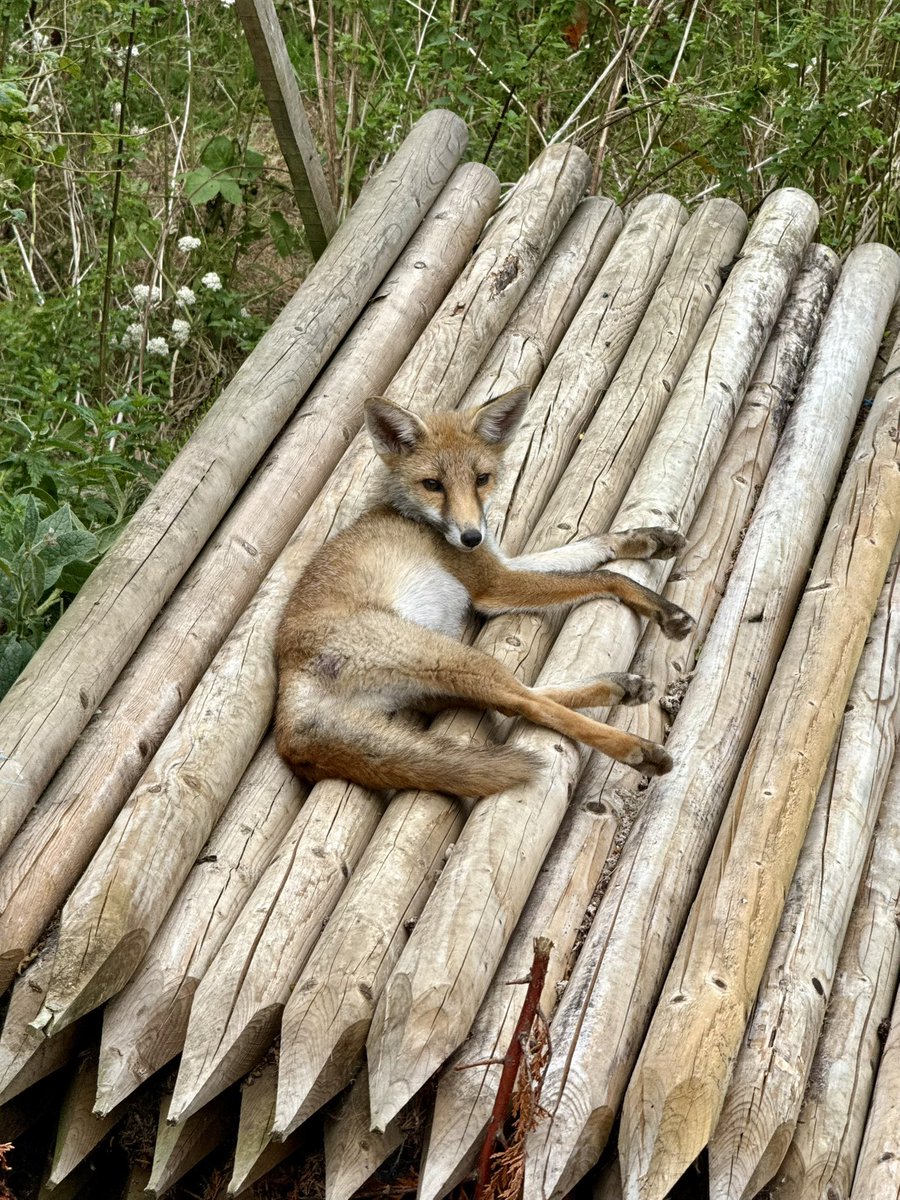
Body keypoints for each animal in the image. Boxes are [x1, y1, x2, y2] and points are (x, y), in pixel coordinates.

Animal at [275, 385, 695, 800]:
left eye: (482, 478)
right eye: (433, 485)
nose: (470, 537)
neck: (416, 517)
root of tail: (287, 719)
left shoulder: (497, 564)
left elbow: (587, 548)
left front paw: (647, 540)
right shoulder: (493, 586)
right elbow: (604, 578)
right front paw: (665, 610)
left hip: (437, 683)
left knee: (519, 699)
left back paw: (620, 687)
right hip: (453, 657)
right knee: (526, 703)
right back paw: (638, 749)